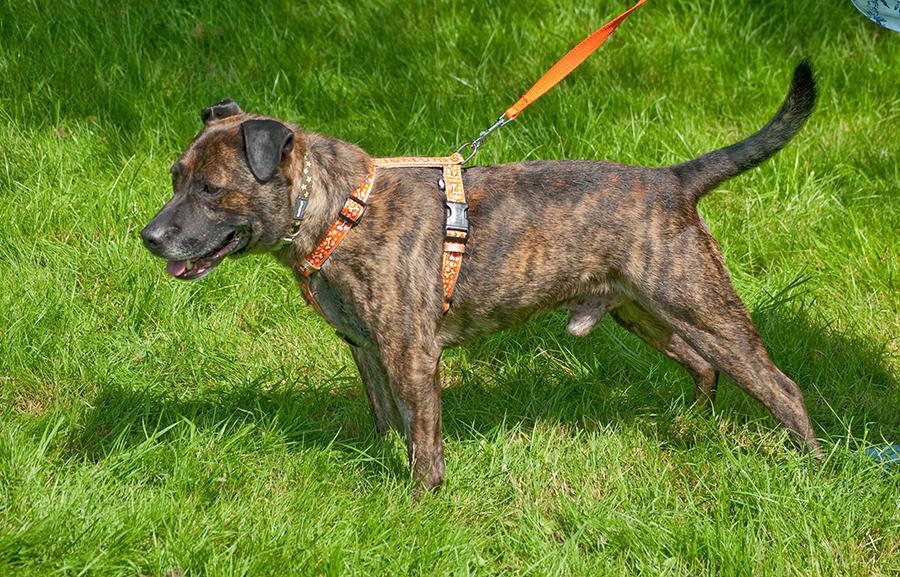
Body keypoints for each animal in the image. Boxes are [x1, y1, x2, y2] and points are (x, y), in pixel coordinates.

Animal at [141, 64, 824, 496]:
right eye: (175, 177)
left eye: (211, 189)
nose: (149, 237)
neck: (337, 210)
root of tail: (675, 180)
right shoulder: (367, 349)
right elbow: (389, 422)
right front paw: (382, 463)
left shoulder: (411, 355)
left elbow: (424, 442)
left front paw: (420, 504)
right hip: (647, 312)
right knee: (702, 366)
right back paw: (689, 426)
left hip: (703, 306)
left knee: (782, 388)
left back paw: (817, 470)